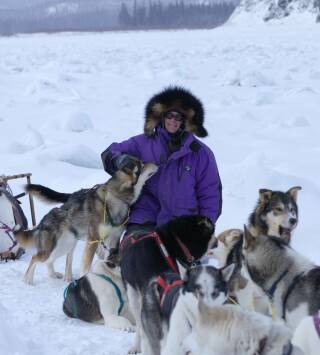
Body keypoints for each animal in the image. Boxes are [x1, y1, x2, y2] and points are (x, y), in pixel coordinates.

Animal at [15, 160, 158, 286]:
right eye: (142, 165)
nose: (155, 163)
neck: (115, 200)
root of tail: (44, 220)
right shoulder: (93, 240)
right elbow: (86, 267)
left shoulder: (113, 239)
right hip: (54, 249)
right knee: (35, 258)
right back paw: (28, 280)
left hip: (65, 245)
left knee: (58, 261)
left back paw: (59, 276)